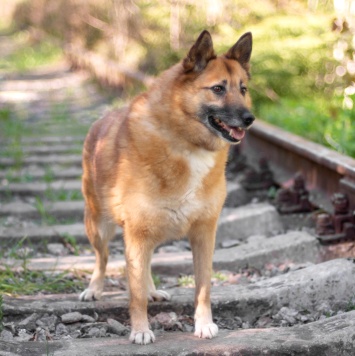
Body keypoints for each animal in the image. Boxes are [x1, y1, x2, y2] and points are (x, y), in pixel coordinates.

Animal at [79, 30, 254, 344]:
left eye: (242, 89)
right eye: (218, 89)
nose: (249, 119)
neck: (187, 143)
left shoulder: (204, 234)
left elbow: (203, 288)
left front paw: (204, 324)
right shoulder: (137, 233)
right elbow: (134, 293)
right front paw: (140, 330)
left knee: (145, 265)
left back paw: (152, 289)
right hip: (99, 225)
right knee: (103, 258)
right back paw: (95, 289)